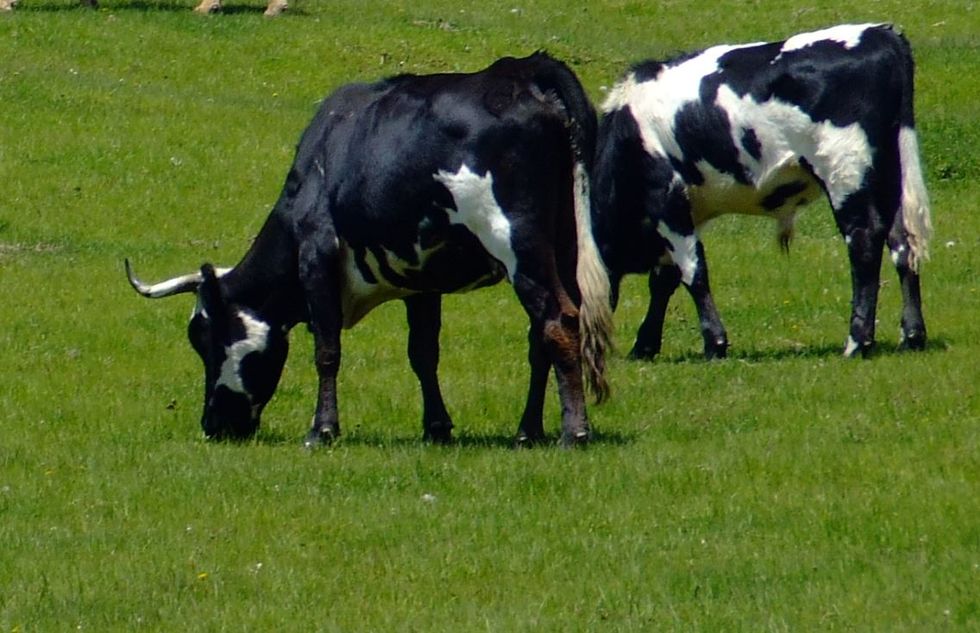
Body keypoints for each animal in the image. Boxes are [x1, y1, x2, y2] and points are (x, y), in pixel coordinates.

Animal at [123, 55, 612, 450]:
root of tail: (525, 68)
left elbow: (327, 349)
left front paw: (322, 430)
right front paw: (436, 427)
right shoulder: (422, 279)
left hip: (516, 240)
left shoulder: (317, 253)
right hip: (562, 243)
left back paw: (574, 431)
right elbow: (423, 352)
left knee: (557, 321)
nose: (214, 424)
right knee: (541, 336)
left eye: (206, 339)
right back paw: (528, 429)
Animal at [588, 23, 936, 360]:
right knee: (903, 244)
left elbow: (693, 270)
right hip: (890, 173)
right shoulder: (685, 211)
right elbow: (664, 279)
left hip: (847, 168)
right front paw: (645, 346)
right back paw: (911, 337)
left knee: (864, 242)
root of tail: (880, 32)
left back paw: (856, 343)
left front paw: (714, 343)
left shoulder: (666, 197)